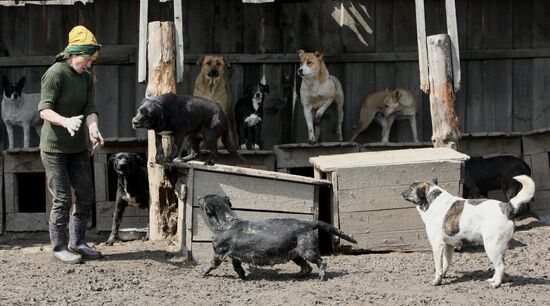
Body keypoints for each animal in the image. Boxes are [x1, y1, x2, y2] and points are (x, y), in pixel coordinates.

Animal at [404, 176, 536, 288]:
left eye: (410, 188)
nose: (401, 193)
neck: (432, 201)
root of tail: (507, 207)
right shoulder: (448, 246)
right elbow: (446, 264)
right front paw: (444, 276)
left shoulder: (437, 245)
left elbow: (438, 267)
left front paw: (437, 280)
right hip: (498, 249)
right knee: (499, 265)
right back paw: (493, 279)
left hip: (491, 247)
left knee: (501, 266)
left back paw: (497, 283)